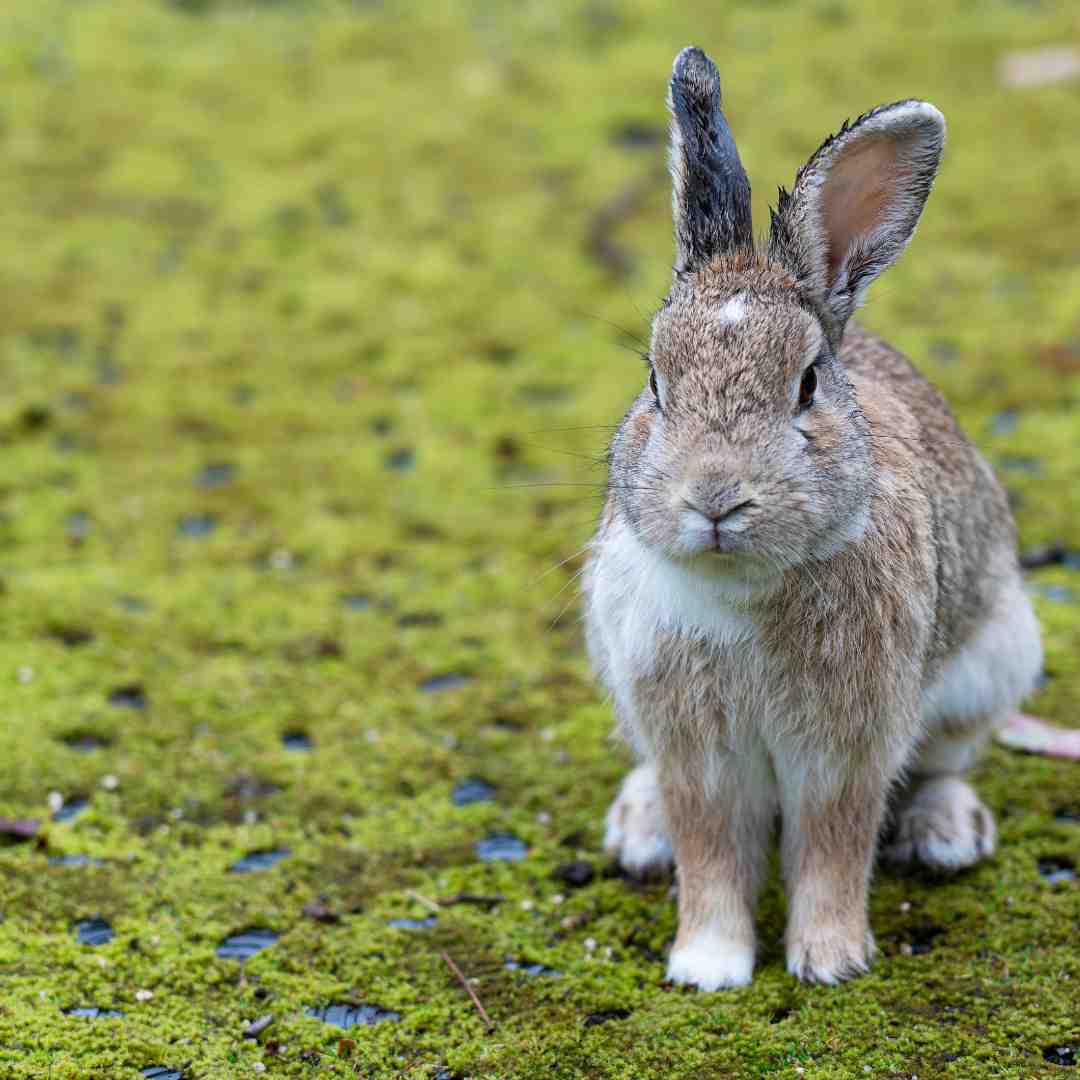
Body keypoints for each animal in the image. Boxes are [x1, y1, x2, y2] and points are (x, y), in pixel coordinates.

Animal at [583, 48, 1045, 989]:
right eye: (654, 382)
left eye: (806, 385)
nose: (715, 498)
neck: (744, 586)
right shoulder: (693, 745)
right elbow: (708, 849)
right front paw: (708, 966)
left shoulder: (848, 740)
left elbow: (835, 844)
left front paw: (830, 961)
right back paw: (640, 830)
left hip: (991, 665)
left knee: (945, 761)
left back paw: (946, 834)